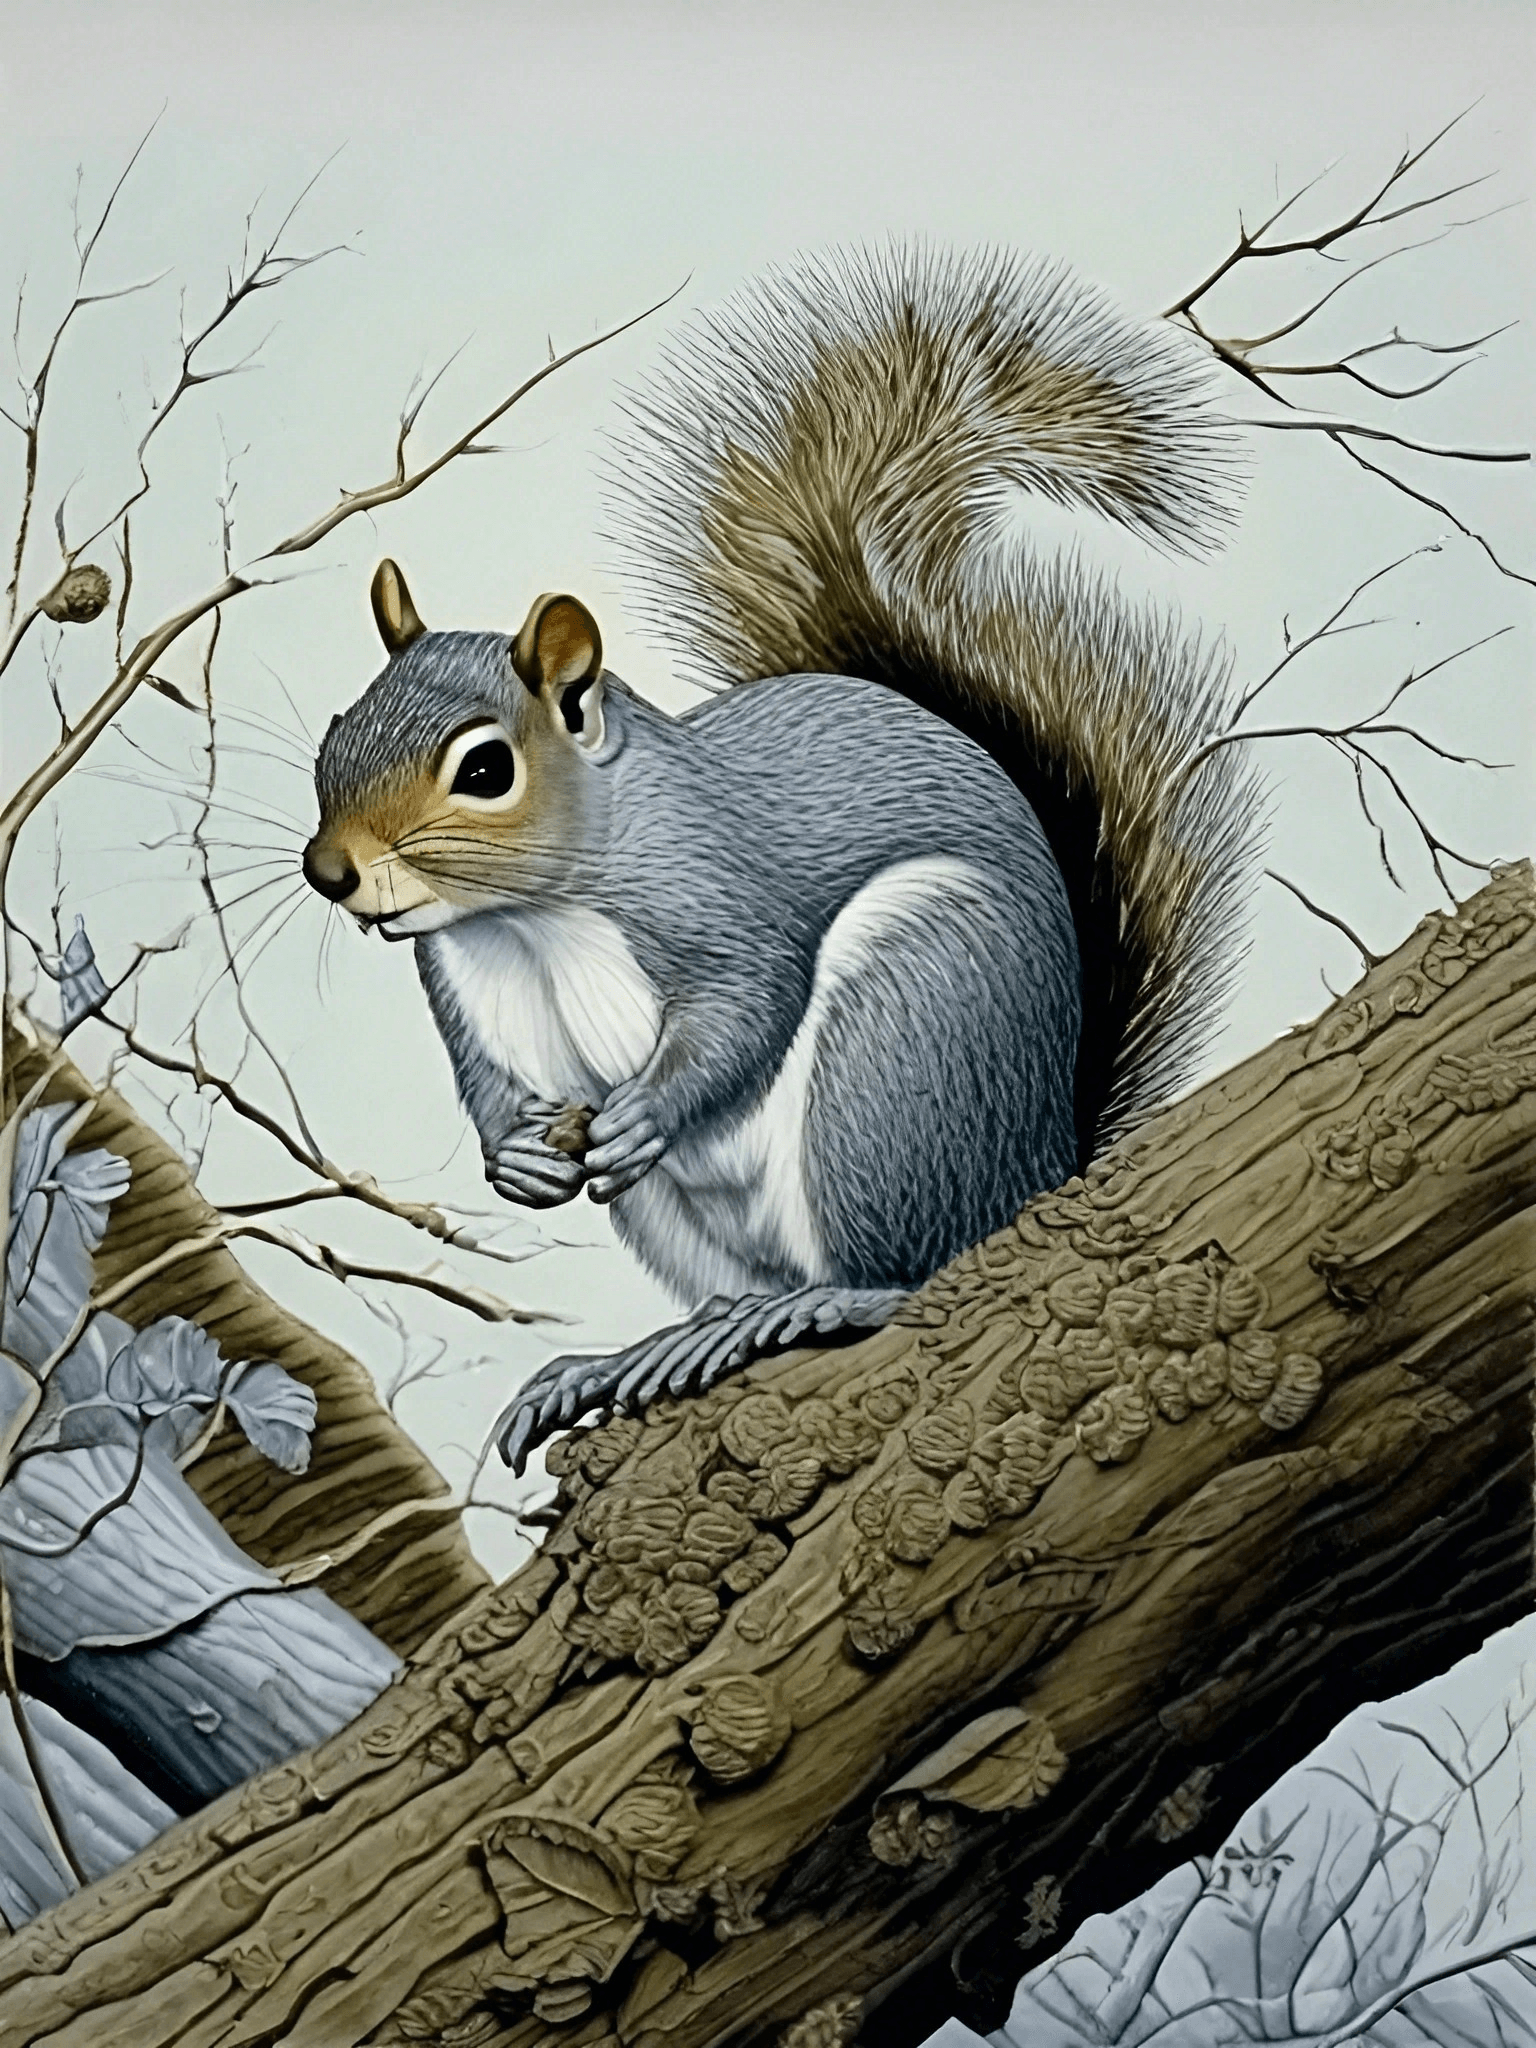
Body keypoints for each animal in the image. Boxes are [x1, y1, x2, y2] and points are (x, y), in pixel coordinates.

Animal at [301, 245, 1261, 1474]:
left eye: (482, 768)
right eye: (336, 732)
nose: (333, 872)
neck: (526, 918)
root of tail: (1043, 1163)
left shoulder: (718, 893)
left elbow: (745, 1007)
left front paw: (648, 1110)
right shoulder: (467, 992)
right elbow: (486, 1083)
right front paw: (516, 1160)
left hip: (897, 1053)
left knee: (916, 1268)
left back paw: (819, 1303)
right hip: (686, 1209)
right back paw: (645, 1352)